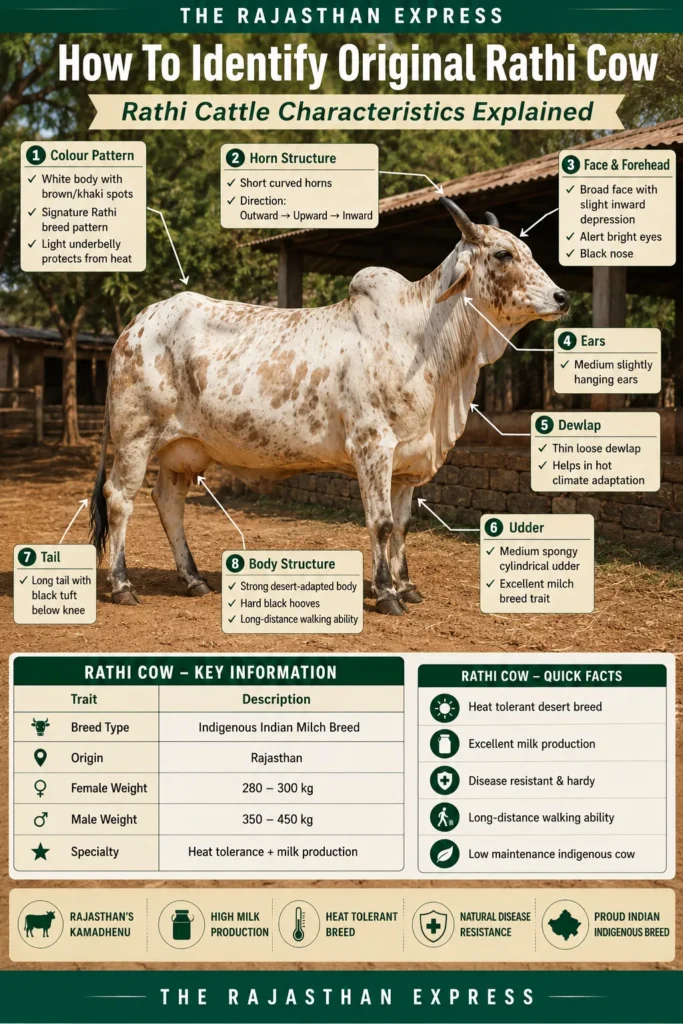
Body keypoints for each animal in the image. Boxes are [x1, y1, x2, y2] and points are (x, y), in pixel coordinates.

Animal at [90, 199, 569, 614]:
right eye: (503, 254)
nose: (562, 297)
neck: (426, 340)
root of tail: (134, 325)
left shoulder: (408, 458)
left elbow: (403, 524)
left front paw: (407, 587)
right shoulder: (373, 447)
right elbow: (381, 523)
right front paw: (386, 595)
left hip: (181, 449)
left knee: (168, 501)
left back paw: (193, 580)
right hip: (135, 437)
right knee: (120, 499)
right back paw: (122, 585)